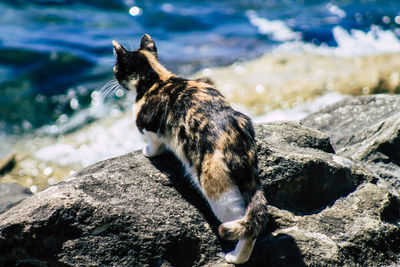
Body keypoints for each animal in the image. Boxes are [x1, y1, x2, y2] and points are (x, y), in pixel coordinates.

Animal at [112, 34, 268, 264]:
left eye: (116, 67)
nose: (113, 73)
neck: (158, 78)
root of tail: (238, 140)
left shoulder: (148, 124)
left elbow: (154, 141)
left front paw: (148, 151)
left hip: (219, 192)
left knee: (243, 225)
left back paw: (236, 257)